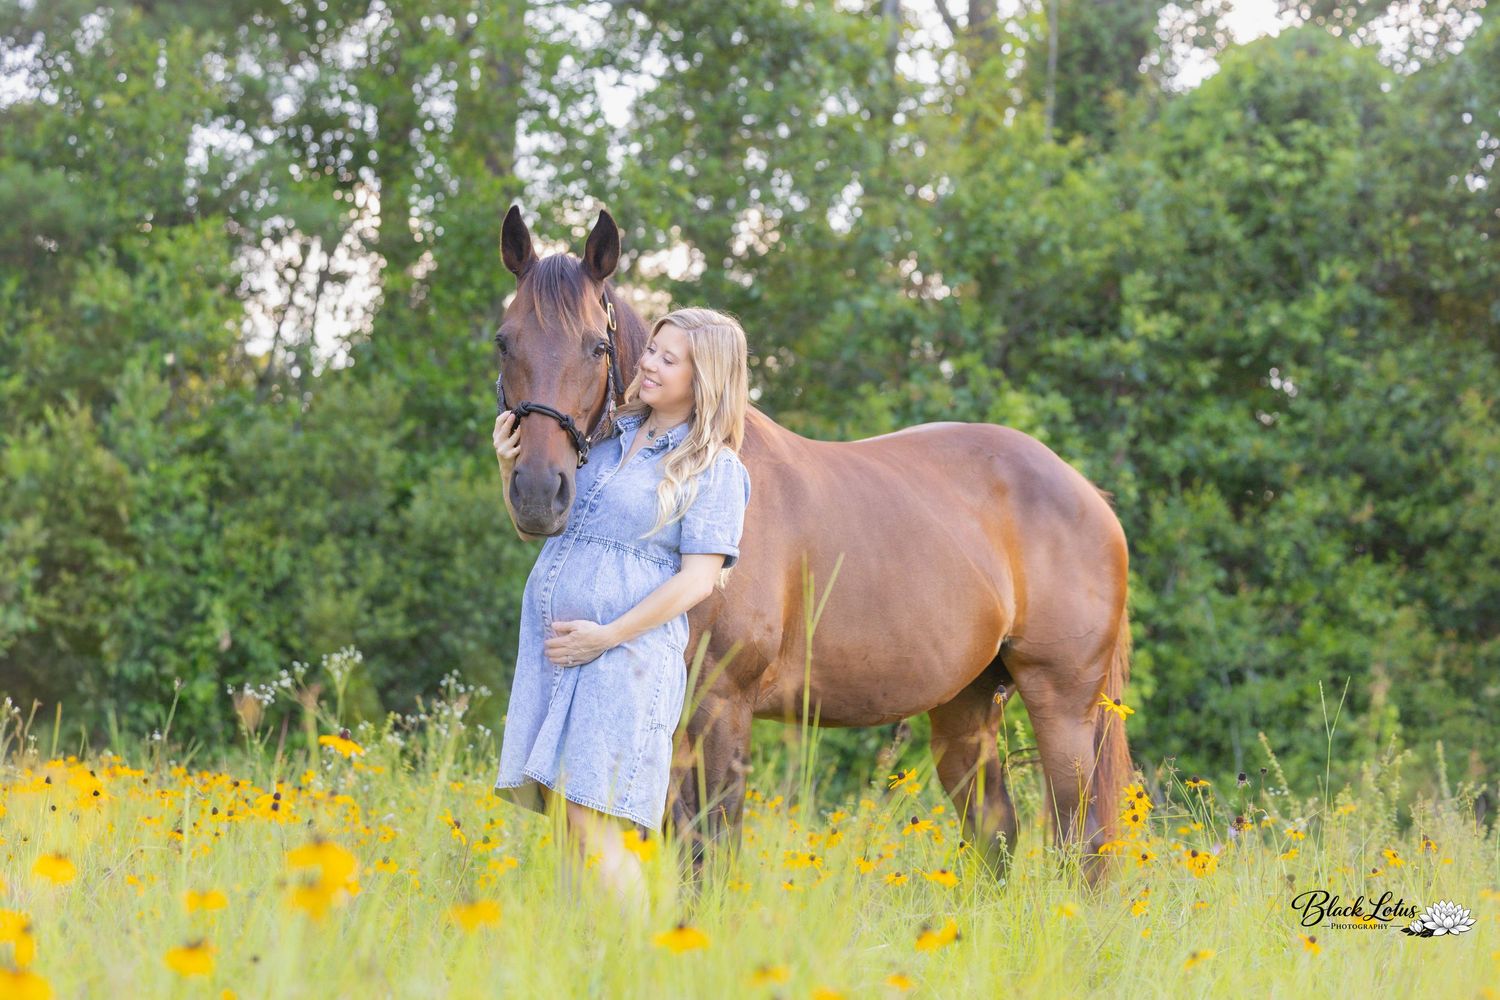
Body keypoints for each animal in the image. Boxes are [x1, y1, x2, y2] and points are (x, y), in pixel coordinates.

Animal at [494, 205, 1135, 887]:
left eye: (597, 346)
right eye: (505, 341)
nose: (538, 491)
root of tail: (1088, 495)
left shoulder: (722, 705)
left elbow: (715, 845)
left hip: (1063, 703)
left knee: (1083, 839)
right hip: (966, 707)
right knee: (996, 832)